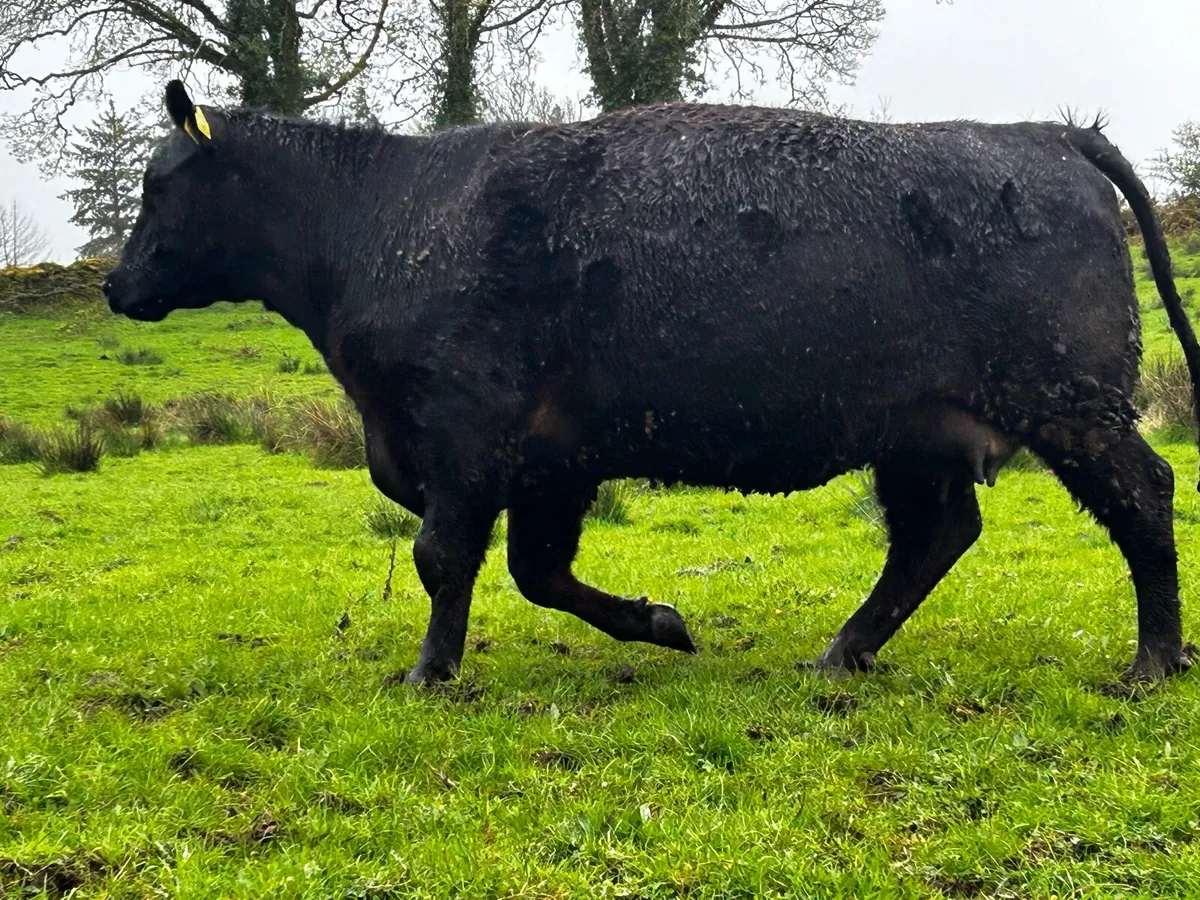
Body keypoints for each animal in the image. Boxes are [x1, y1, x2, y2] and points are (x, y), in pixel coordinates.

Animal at [104, 79, 1200, 686]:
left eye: (158, 184)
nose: (114, 283)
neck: (389, 216)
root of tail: (1043, 132)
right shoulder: (551, 464)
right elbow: (535, 572)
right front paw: (662, 625)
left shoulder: (464, 437)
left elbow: (442, 556)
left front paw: (427, 673)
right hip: (921, 431)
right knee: (934, 537)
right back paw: (840, 654)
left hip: (1070, 404)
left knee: (1143, 495)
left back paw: (1152, 663)